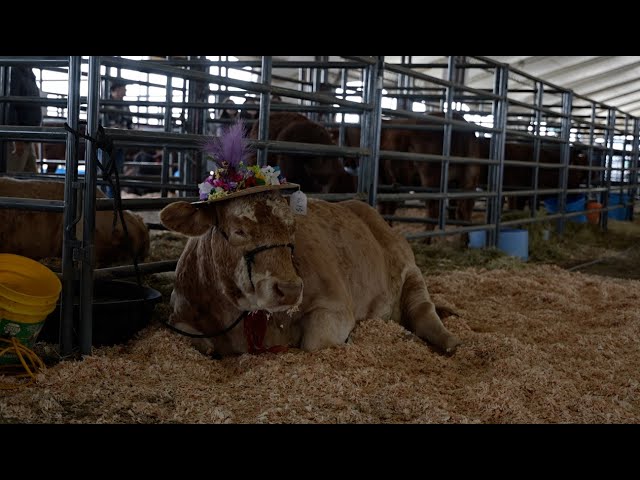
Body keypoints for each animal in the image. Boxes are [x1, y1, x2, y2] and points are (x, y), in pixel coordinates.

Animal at [159, 191, 460, 356]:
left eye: (292, 229)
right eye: (239, 230)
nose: (290, 289)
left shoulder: (335, 305)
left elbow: (315, 342)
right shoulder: (179, 311)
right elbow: (198, 341)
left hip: (411, 273)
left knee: (423, 311)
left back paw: (447, 340)